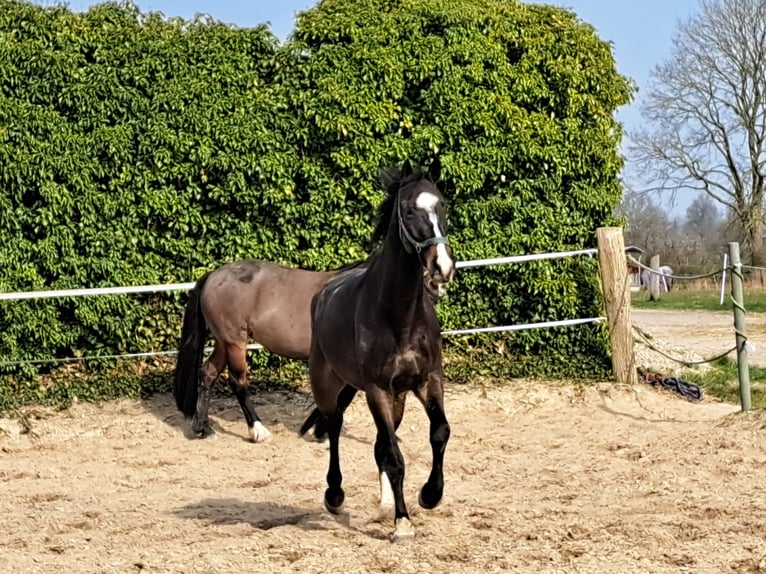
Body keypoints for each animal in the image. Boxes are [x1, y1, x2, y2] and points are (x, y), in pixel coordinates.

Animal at [174, 258, 368, 444]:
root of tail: (213, 276)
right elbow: (344, 397)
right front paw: (318, 431)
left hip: (223, 343)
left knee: (208, 374)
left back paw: (204, 429)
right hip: (234, 342)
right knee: (238, 382)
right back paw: (258, 431)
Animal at [300, 159, 456, 544]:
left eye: (442, 205)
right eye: (408, 210)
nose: (442, 268)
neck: (399, 317)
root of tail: (322, 294)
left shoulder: (428, 381)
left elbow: (439, 433)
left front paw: (430, 495)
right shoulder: (377, 390)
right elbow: (396, 457)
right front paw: (403, 523)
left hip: (394, 398)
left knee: (380, 444)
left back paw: (384, 501)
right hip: (328, 385)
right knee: (335, 427)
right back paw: (335, 496)